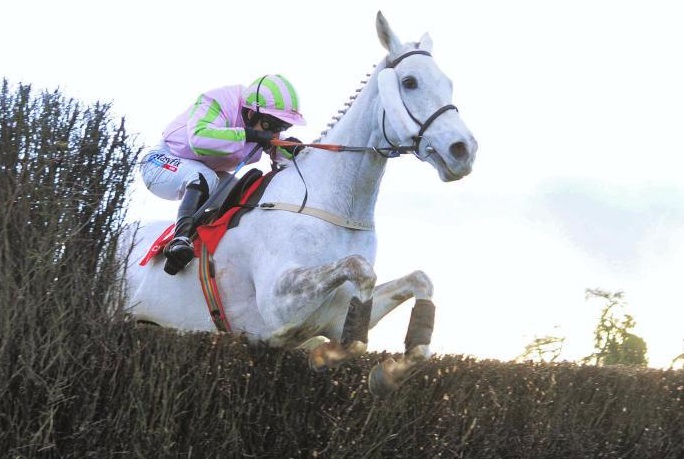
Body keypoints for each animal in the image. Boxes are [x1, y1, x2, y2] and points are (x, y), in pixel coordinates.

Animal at [124, 9, 476, 396]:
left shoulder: (337, 313)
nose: (463, 150)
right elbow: (359, 271)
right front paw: (326, 356)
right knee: (199, 181)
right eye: (410, 81)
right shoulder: (278, 305)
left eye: (449, 83)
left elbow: (419, 282)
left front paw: (390, 372)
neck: (333, 204)